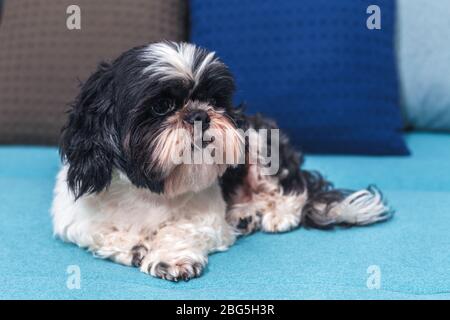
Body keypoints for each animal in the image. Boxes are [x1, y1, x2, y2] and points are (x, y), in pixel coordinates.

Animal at [51, 41, 392, 282]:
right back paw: (243, 215)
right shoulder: (74, 221)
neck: (149, 194)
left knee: (292, 191)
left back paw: (273, 215)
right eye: (161, 106)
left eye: (214, 101)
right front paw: (137, 247)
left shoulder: (208, 219)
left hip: (259, 142)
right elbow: (103, 233)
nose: (199, 114)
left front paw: (170, 256)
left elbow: (180, 230)